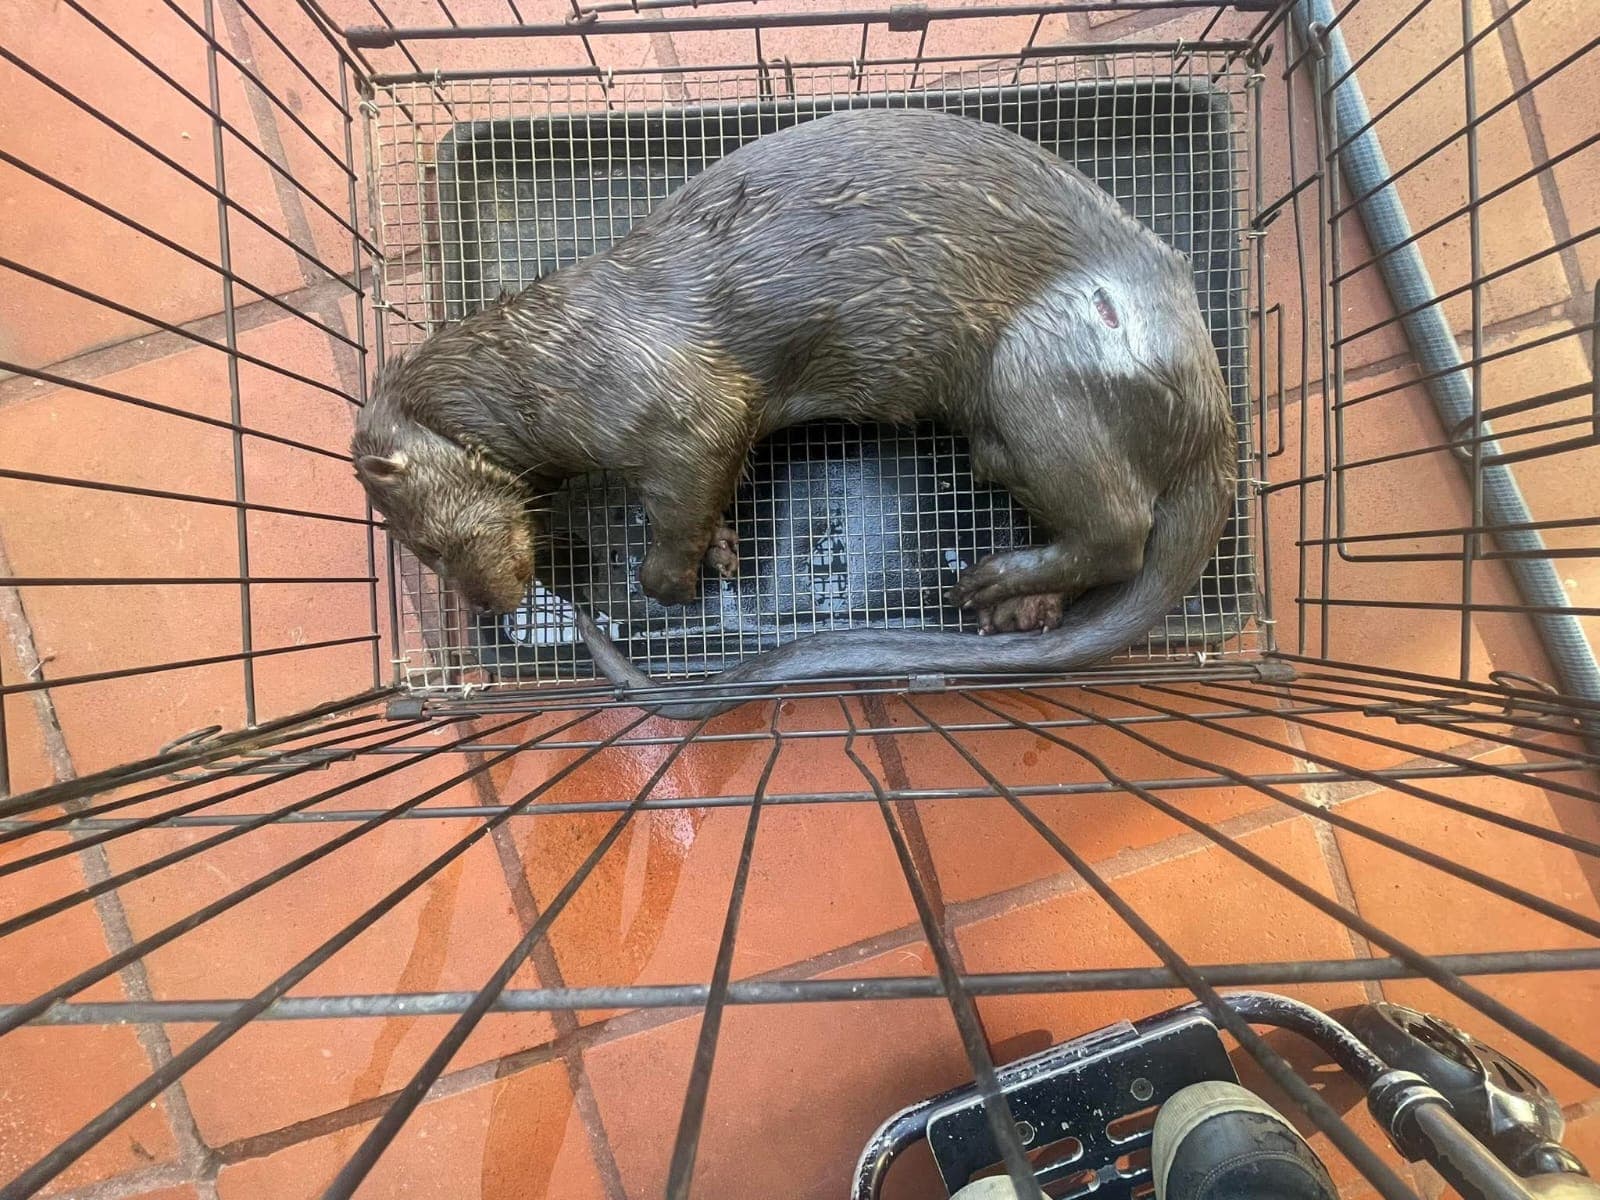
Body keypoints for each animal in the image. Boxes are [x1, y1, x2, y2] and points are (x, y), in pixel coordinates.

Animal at [352, 108, 1235, 715]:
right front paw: (722, 547)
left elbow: (679, 507)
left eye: (431, 548)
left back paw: (992, 582)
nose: (490, 606)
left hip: (1035, 373)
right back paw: (1028, 607)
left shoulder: (677, 405)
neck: (551, 366)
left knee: (1120, 529)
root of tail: (1210, 410)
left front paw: (676, 575)